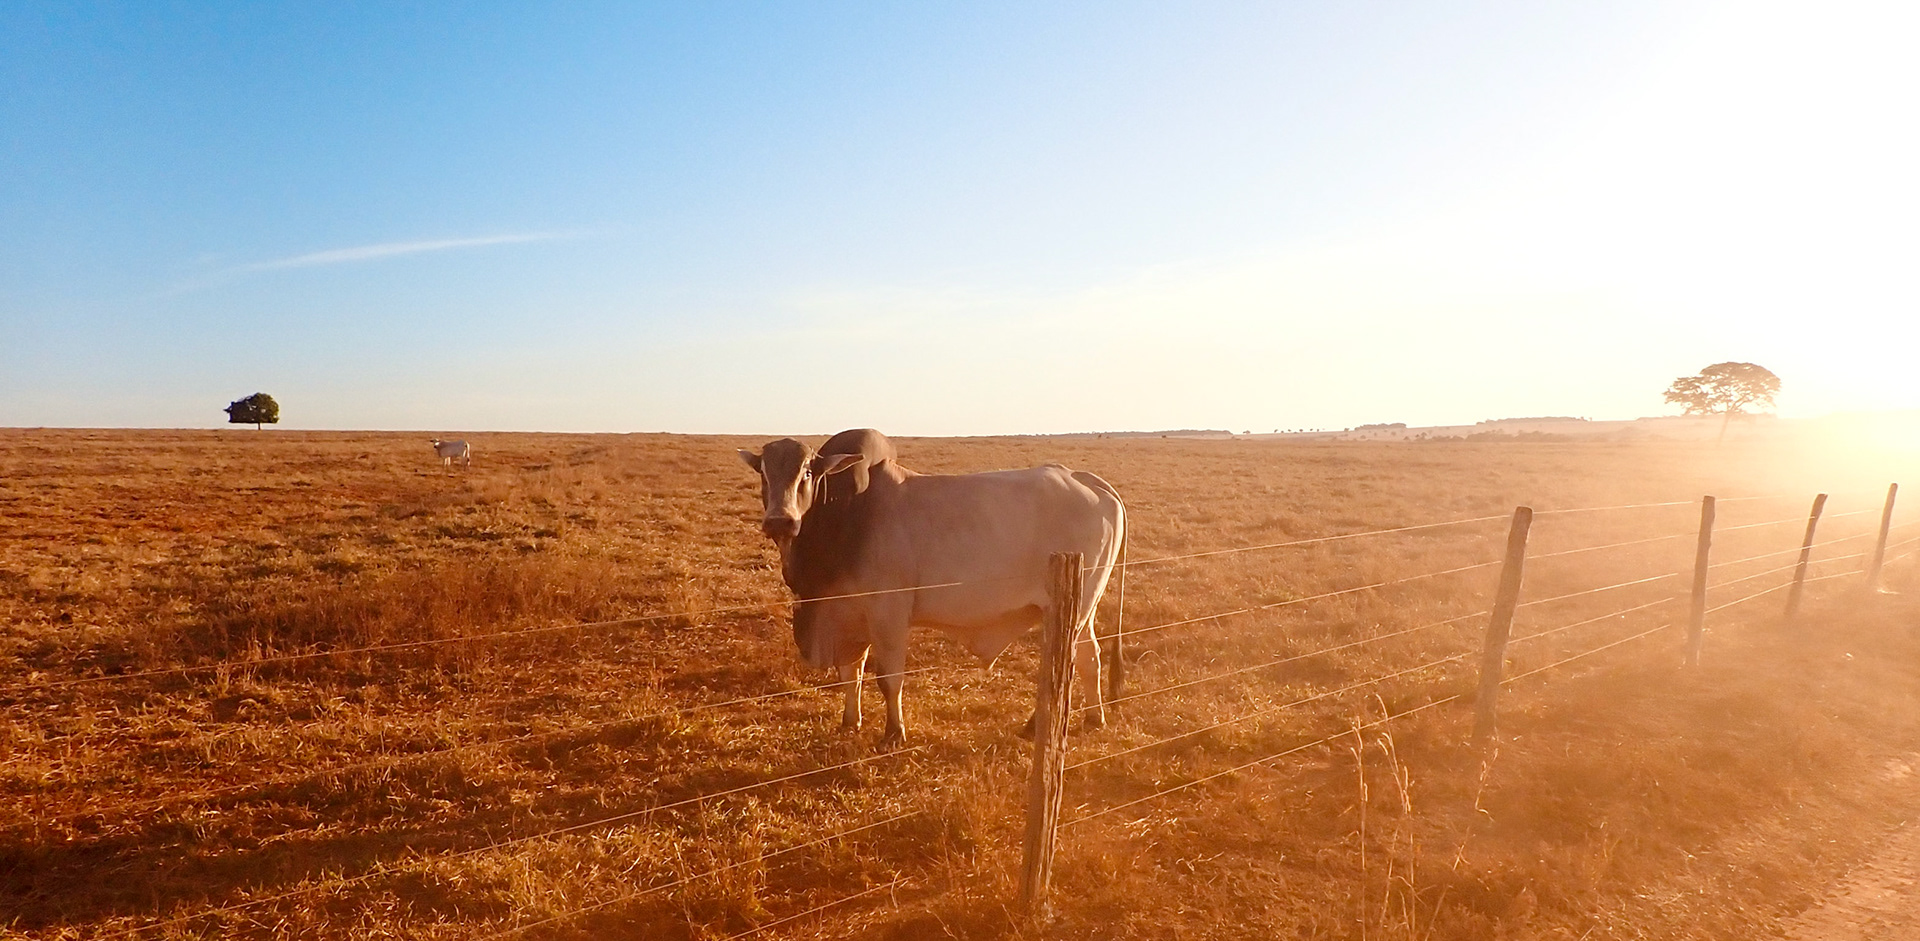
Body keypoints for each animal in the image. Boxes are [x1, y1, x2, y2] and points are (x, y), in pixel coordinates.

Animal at [739, 430, 1125, 746]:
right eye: (763, 473)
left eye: (807, 472)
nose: (779, 521)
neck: (850, 512)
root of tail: (1086, 479)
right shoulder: (851, 615)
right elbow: (851, 673)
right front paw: (850, 722)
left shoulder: (888, 614)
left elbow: (888, 678)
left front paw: (894, 733)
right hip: (1082, 610)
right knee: (1090, 657)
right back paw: (1093, 719)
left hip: (1071, 610)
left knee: (1068, 666)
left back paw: (1036, 726)